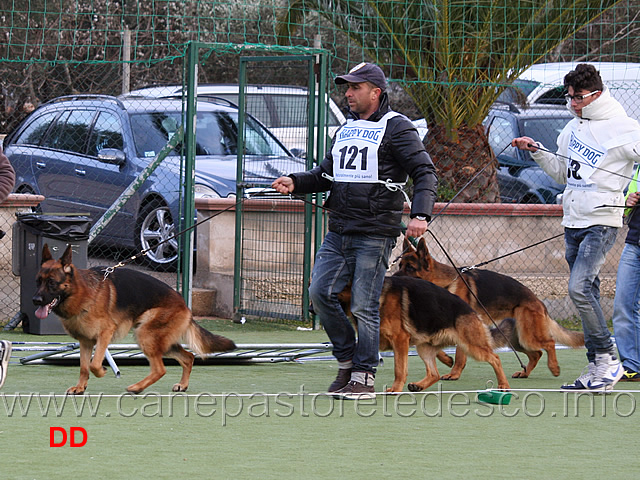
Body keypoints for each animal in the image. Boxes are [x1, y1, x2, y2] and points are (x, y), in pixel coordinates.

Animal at [33, 246, 238, 396]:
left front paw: (102, 372)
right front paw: (80, 387)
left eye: (52, 283)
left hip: (145, 335)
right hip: (160, 340)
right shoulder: (85, 341)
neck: (83, 293)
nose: (35, 300)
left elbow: (94, 364)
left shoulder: (104, 334)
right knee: (188, 357)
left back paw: (137, 388)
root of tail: (184, 304)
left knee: (160, 369)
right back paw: (182, 384)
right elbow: (84, 367)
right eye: (38, 281)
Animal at [336, 276, 510, 392]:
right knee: (434, 373)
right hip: (425, 348)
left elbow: (399, 369)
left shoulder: (400, 340)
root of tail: (472, 311)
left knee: (495, 358)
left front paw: (395, 389)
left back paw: (503, 385)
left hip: (471, 346)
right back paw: (419, 385)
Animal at [396, 236, 584, 378]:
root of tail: (537, 300)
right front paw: (446, 360)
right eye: (400, 265)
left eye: (410, 267)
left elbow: (460, 356)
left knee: (549, 343)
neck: (444, 283)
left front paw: (454, 373)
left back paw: (554, 367)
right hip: (515, 339)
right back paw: (525, 373)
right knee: (536, 353)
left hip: (528, 335)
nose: (393, 278)